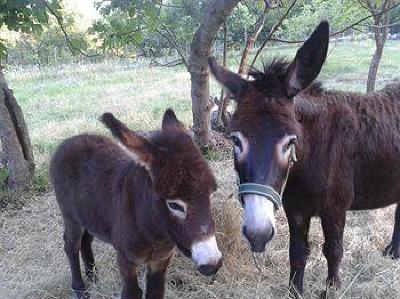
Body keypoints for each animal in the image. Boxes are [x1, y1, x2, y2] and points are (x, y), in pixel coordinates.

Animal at [49, 110, 222, 299]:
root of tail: (69, 141)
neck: (154, 233)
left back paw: (93, 276)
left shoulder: (160, 261)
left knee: (86, 241)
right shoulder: (126, 259)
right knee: (71, 245)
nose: (213, 264)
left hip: (89, 214)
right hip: (71, 217)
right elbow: (131, 292)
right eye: (174, 205)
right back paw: (80, 289)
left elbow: (155, 292)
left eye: (211, 194)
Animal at [208, 22, 400, 296]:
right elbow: (297, 253)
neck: (309, 160)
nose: (257, 236)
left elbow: (333, 251)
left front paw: (332, 290)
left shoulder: (335, 208)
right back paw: (393, 253)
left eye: (290, 142)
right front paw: (295, 292)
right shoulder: (295, 207)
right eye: (235, 140)